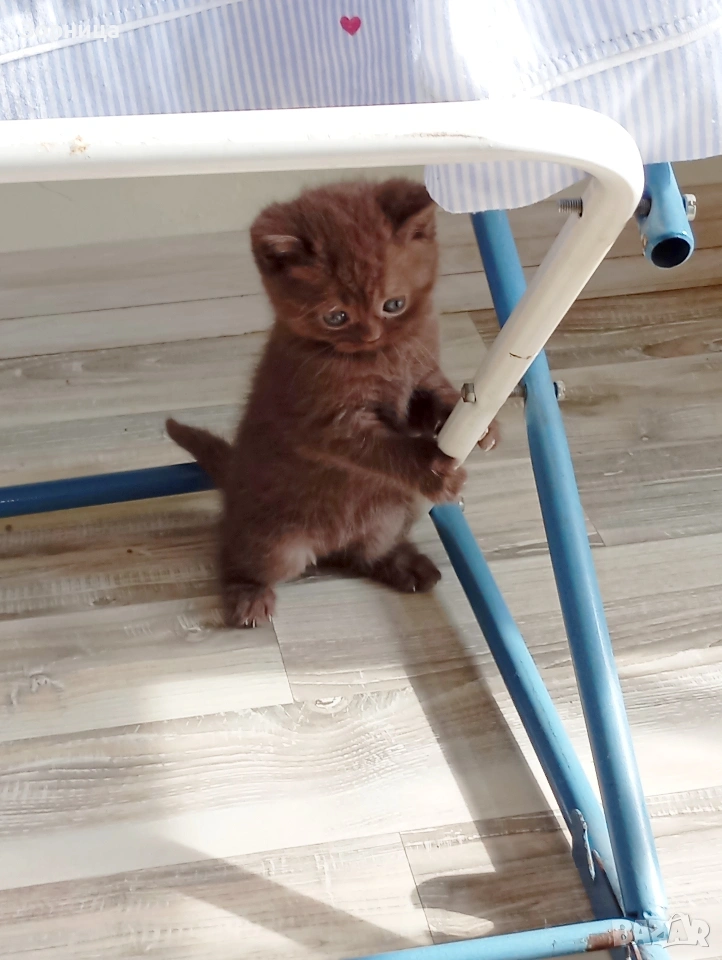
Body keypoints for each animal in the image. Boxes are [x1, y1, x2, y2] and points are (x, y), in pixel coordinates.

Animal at [166, 178, 498, 627]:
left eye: (394, 305)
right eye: (336, 317)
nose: (371, 334)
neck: (381, 357)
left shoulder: (420, 380)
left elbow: (435, 401)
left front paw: (477, 424)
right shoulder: (327, 422)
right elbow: (382, 449)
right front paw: (430, 467)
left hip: (397, 510)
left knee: (361, 555)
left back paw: (401, 565)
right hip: (275, 543)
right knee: (236, 554)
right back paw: (248, 596)